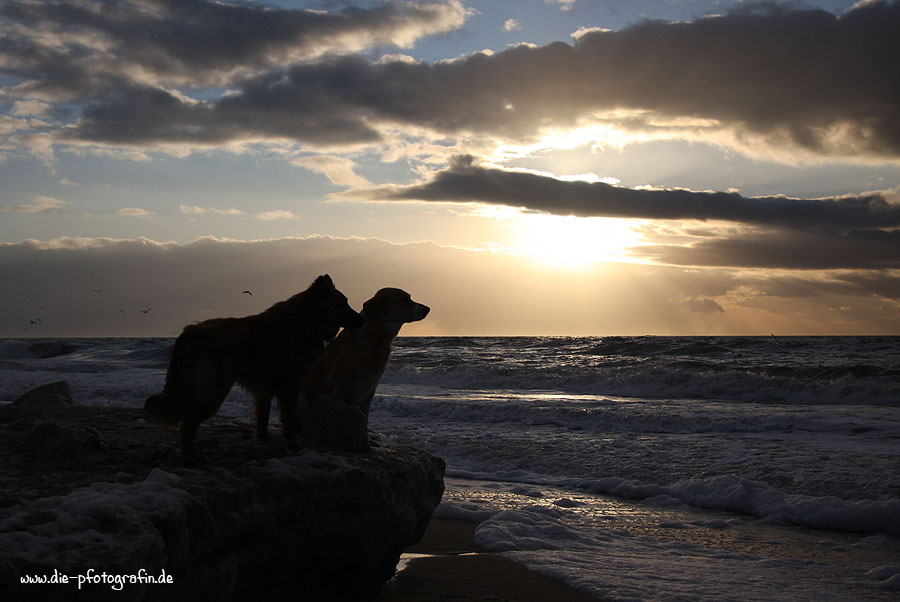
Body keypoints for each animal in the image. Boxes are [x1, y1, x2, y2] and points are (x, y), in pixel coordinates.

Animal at [142, 274, 364, 462]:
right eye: (343, 304)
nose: (363, 319)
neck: (307, 319)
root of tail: (189, 334)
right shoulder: (290, 389)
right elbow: (288, 422)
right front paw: (294, 445)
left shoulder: (264, 391)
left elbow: (263, 418)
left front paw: (264, 439)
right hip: (214, 394)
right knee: (187, 427)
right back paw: (193, 458)